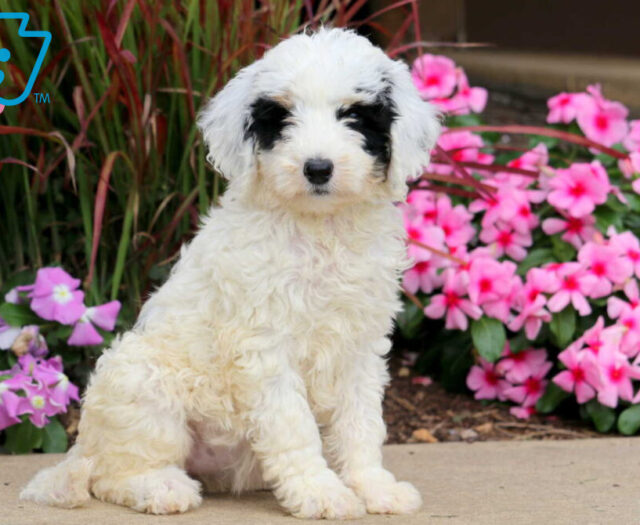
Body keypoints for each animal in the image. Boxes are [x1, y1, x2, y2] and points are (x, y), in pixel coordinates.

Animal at [21, 29, 440, 520]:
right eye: (282, 118)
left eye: (354, 115)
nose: (318, 168)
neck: (320, 230)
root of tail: (82, 450)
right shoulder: (266, 347)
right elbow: (295, 426)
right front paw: (320, 492)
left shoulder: (359, 346)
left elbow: (361, 422)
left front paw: (372, 486)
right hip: (140, 380)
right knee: (114, 474)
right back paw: (161, 488)